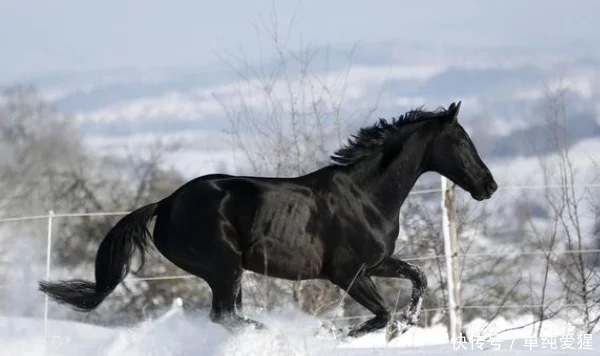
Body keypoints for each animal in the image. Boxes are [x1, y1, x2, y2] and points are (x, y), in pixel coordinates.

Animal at [38, 101, 496, 340]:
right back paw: (270, 332)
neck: (365, 195)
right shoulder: (346, 272)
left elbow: (418, 277)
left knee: (227, 316)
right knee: (225, 316)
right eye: (461, 140)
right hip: (224, 266)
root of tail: (166, 203)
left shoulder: (376, 263)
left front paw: (409, 322)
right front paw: (334, 334)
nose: (489, 186)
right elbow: (381, 313)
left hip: (226, 271)